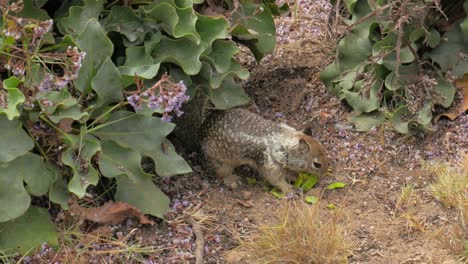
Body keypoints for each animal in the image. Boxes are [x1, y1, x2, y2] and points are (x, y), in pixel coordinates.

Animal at [201, 108, 330, 193]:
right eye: (317, 164)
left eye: (325, 151)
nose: (324, 173)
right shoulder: (269, 165)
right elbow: (276, 180)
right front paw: (290, 189)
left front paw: (294, 175)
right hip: (221, 163)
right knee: (221, 173)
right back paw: (232, 179)